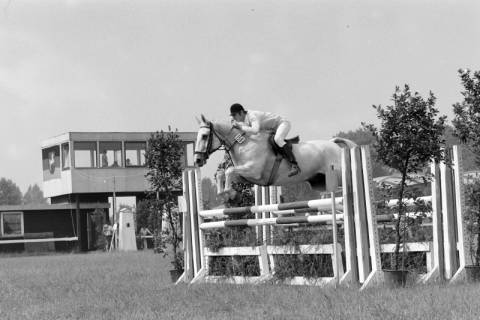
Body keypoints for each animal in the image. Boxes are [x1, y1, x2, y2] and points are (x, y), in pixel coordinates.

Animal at [194, 115, 356, 198]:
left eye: (204, 136)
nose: (197, 160)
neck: (243, 143)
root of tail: (333, 144)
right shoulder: (248, 176)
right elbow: (222, 173)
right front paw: (223, 192)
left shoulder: (253, 170)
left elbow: (228, 171)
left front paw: (227, 191)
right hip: (320, 182)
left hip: (337, 175)